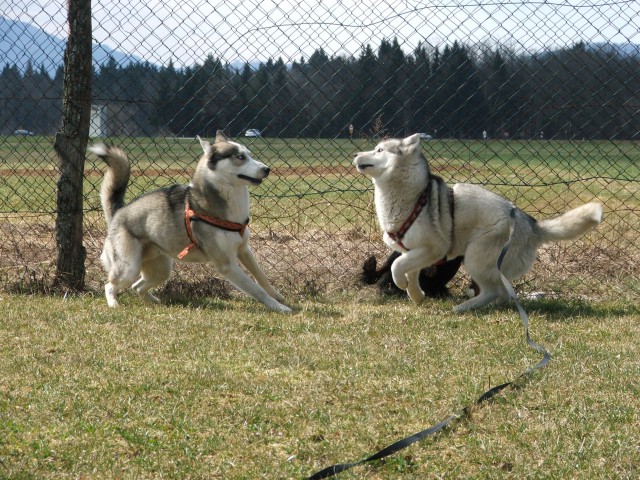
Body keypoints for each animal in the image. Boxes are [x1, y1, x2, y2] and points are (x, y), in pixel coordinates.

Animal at [90, 131, 290, 314]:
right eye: (240, 157)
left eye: (250, 154)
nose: (267, 169)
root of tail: (118, 211)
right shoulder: (227, 264)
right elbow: (255, 289)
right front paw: (279, 307)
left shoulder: (244, 250)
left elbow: (261, 278)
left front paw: (278, 296)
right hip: (129, 267)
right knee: (110, 285)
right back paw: (114, 304)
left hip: (161, 270)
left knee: (137, 287)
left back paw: (155, 301)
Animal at [352, 133, 604, 314]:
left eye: (379, 150)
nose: (355, 153)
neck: (413, 198)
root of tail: (532, 226)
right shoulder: (414, 251)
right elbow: (408, 269)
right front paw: (415, 294)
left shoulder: (433, 249)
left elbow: (396, 266)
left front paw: (401, 284)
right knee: (502, 293)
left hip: (476, 257)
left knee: (495, 291)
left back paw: (462, 308)